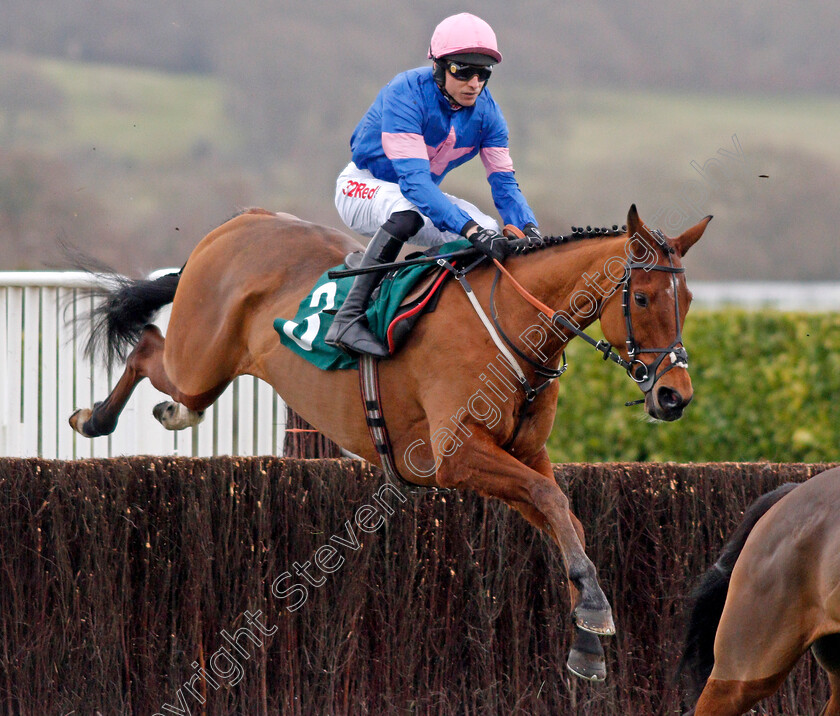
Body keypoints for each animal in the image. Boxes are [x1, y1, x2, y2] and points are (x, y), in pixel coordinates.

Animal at [70, 203, 708, 684]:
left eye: (688, 302)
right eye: (643, 299)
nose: (674, 396)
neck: (511, 324)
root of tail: (235, 224)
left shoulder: (524, 454)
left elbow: (563, 513)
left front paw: (587, 639)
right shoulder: (454, 455)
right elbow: (552, 502)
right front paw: (595, 616)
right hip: (198, 361)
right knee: (147, 347)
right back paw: (93, 418)